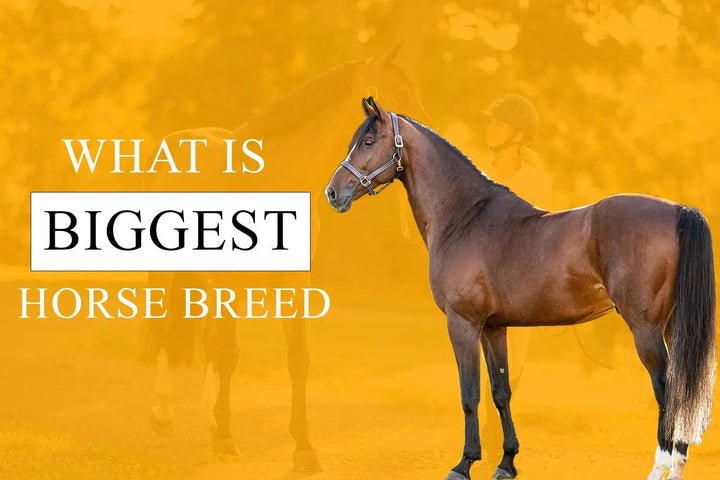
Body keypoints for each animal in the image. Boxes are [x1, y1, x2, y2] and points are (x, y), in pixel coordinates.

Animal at [139, 53, 430, 473]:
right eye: (402, 94)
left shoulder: (294, 285)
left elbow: (297, 360)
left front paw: (304, 448)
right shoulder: (231, 284)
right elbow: (227, 356)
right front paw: (225, 439)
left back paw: (206, 420)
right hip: (166, 273)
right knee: (162, 332)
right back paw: (163, 416)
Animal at [325, 97, 716, 480]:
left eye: (369, 142)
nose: (332, 192)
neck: (464, 218)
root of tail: (679, 210)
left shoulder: (463, 324)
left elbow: (469, 394)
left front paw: (464, 464)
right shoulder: (494, 328)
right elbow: (501, 392)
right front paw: (506, 462)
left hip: (645, 328)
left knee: (667, 390)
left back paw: (662, 466)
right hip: (671, 325)